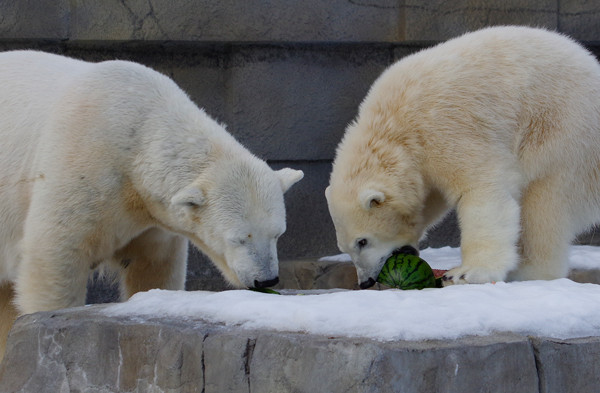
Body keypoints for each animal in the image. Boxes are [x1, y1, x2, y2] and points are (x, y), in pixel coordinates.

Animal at [0, 49, 302, 350]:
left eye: (277, 234)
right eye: (238, 238)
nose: (266, 279)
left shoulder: (151, 218)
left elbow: (154, 267)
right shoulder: (80, 161)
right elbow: (55, 254)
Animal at [326, 25, 600, 288]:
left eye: (362, 241)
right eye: (344, 247)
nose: (365, 282)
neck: (392, 125)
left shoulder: (446, 128)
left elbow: (482, 191)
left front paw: (464, 273)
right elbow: (429, 199)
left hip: (561, 129)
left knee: (543, 204)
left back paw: (530, 271)